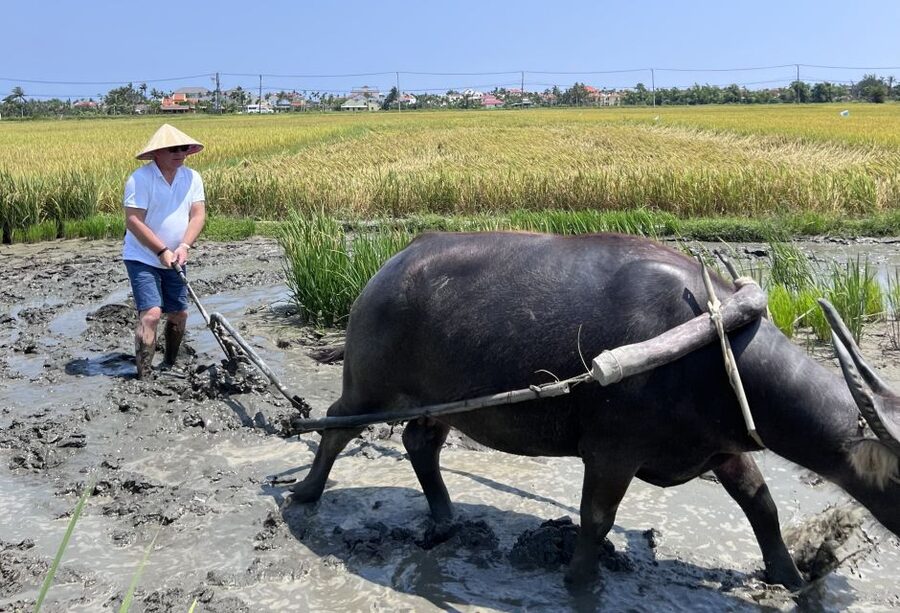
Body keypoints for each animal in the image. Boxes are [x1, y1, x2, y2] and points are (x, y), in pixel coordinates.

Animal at [289, 231, 899, 586]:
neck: (712, 347)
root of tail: (386, 270)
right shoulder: (611, 452)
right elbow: (596, 517)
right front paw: (579, 580)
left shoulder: (721, 448)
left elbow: (762, 506)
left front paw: (790, 576)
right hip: (367, 386)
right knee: (334, 428)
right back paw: (304, 494)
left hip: (440, 403)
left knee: (420, 444)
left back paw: (443, 516)